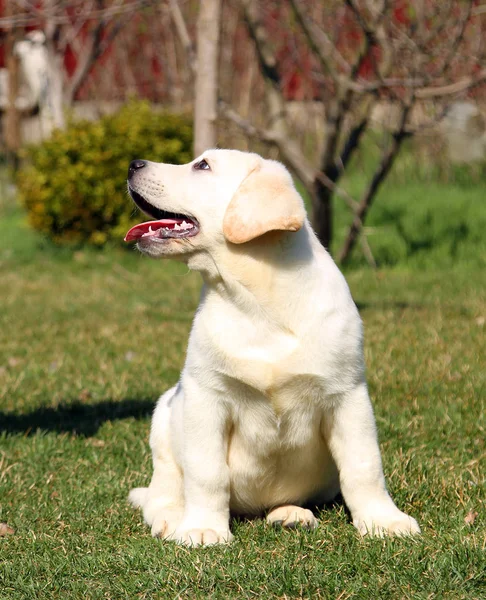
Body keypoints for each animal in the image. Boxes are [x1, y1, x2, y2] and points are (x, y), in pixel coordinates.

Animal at [124, 149, 418, 544]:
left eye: (203, 166)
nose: (132, 164)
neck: (258, 302)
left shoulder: (348, 395)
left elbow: (364, 465)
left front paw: (383, 521)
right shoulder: (206, 396)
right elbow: (206, 472)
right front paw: (203, 528)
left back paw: (290, 514)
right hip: (165, 415)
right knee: (163, 488)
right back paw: (170, 517)